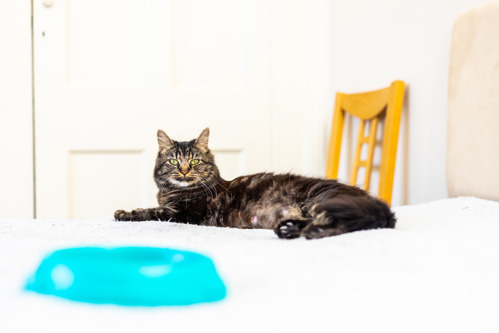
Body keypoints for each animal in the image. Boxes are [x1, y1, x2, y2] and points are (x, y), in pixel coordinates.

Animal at [115, 127, 396, 239]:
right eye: (174, 162)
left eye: (194, 161)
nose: (184, 171)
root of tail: (382, 207)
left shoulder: (186, 213)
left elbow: (151, 212)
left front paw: (124, 213)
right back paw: (289, 229)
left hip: (321, 201)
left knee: (342, 224)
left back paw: (306, 232)